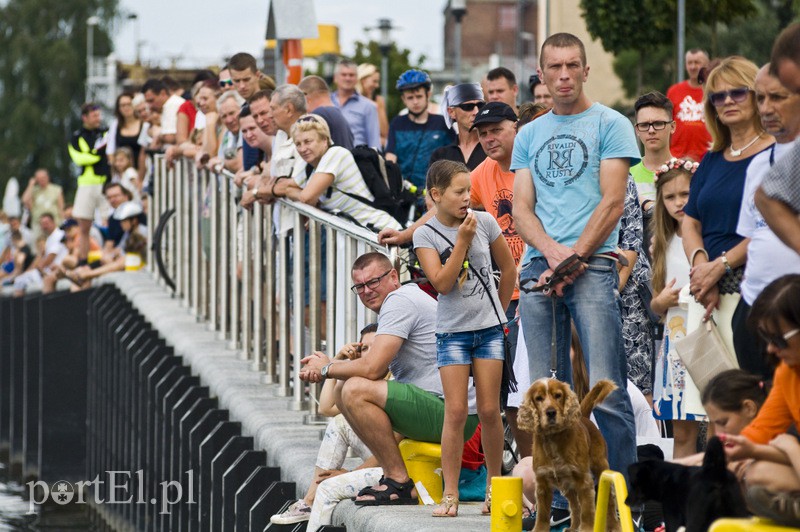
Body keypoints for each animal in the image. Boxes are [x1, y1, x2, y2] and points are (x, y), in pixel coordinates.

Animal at [516, 378, 620, 532]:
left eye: (558, 395)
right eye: (539, 398)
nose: (551, 412)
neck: (553, 438)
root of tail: (584, 417)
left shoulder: (583, 480)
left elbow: (587, 510)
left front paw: (587, 529)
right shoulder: (542, 482)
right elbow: (543, 514)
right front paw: (539, 529)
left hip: (600, 466)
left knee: (609, 500)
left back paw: (614, 526)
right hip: (567, 485)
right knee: (574, 505)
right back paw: (574, 527)